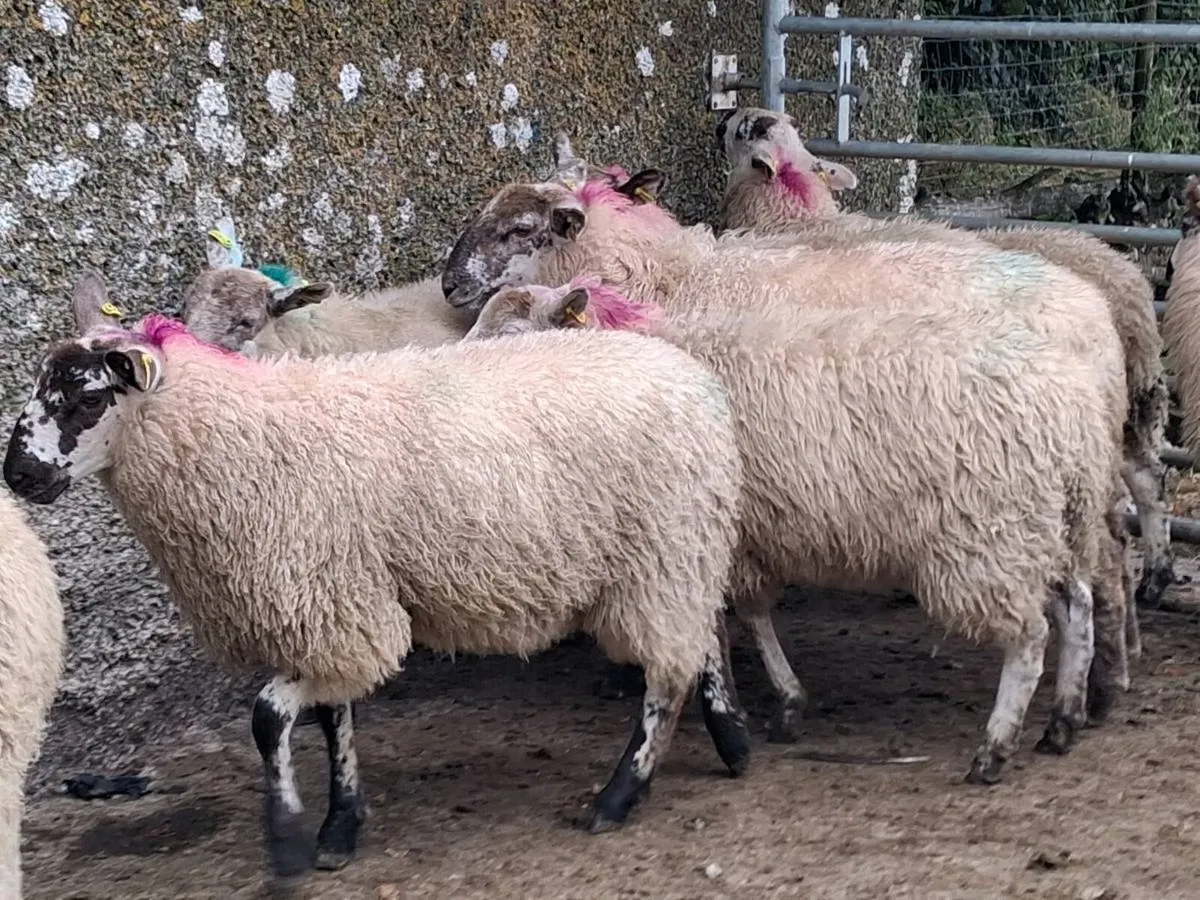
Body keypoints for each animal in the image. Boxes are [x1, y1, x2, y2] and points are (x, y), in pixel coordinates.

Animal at [3, 270, 750, 888]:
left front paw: (287, 840)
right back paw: (733, 740)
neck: (236, 437)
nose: (19, 476)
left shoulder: (333, 602)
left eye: (84, 399)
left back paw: (619, 795)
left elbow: (268, 718)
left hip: (661, 547)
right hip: (678, 546)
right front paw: (339, 826)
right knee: (701, 636)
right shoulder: (328, 600)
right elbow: (333, 718)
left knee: (667, 673)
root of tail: (684, 367)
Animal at [441, 167, 1132, 771]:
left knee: (1052, 613)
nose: (447, 287)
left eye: (519, 229)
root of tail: (1090, 312)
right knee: (1082, 587)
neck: (671, 287)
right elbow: (744, 612)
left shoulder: (720, 524)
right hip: (1058, 506)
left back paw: (1021, 733)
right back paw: (1072, 711)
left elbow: (737, 615)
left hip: (993, 526)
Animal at [715, 106, 1173, 642]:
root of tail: (1122, 292)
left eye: (745, 130)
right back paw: (1151, 586)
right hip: (1121, 413)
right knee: (1145, 482)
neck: (798, 216)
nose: (721, 117)